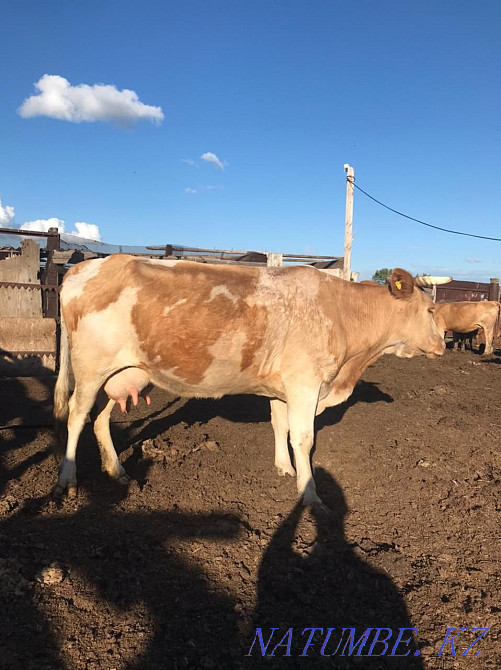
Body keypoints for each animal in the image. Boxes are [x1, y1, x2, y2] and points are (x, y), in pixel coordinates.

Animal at [53, 256, 445, 508]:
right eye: (430, 310)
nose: (442, 344)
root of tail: (85, 267)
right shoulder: (305, 385)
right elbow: (303, 439)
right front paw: (310, 494)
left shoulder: (284, 389)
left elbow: (280, 426)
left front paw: (284, 467)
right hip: (90, 369)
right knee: (76, 416)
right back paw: (67, 480)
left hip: (120, 374)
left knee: (100, 419)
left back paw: (116, 471)